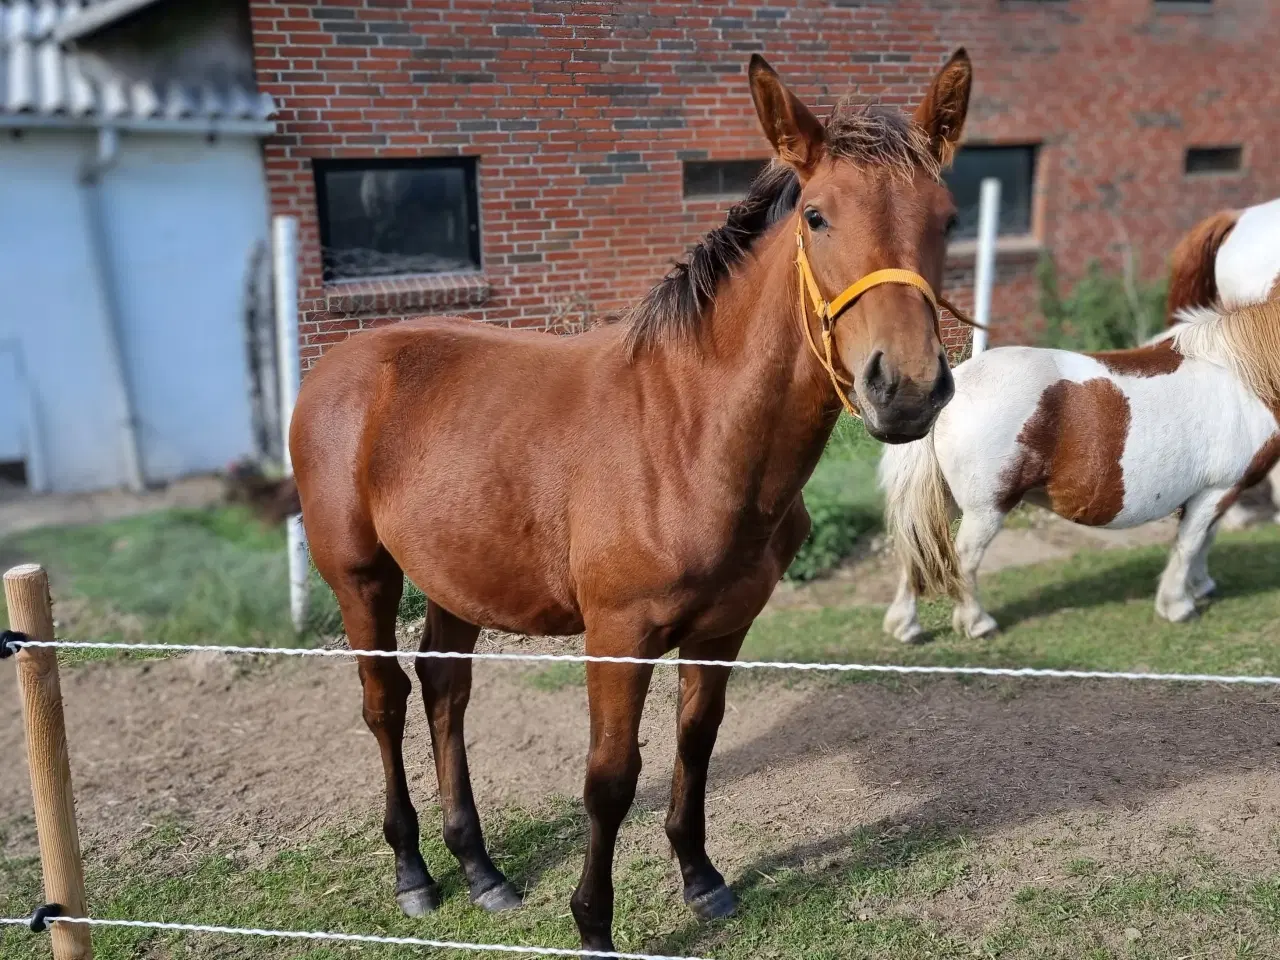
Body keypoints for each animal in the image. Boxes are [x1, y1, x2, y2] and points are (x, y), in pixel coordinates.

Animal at [290, 52, 967, 957]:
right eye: (818, 216)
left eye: (948, 217)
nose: (908, 389)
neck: (689, 430)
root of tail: (338, 365)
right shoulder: (618, 636)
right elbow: (610, 779)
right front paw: (594, 923)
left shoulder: (723, 627)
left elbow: (696, 743)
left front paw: (702, 878)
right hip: (363, 578)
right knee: (384, 702)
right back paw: (414, 872)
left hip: (453, 576)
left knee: (444, 688)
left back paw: (481, 868)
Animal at [885, 302, 1280, 647]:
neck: (1240, 374)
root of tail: (956, 384)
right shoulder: (1218, 490)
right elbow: (1190, 544)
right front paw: (1177, 605)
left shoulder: (1213, 494)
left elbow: (1203, 540)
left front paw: (1200, 586)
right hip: (986, 509)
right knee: (964, 559)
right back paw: (977, 623)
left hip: (943, 499)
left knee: (915, 549)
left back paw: (905, 626)